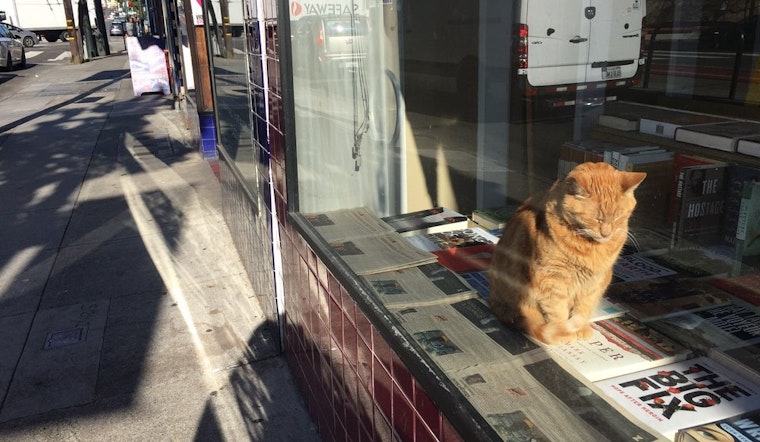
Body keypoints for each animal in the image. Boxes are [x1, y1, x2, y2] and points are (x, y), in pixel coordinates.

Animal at [490, 161, 644, 346]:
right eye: (597, 219)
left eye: (618, 217)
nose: (606, 233)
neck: (590, 246)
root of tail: (493, 298)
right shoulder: (552, 278)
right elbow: (557, 310)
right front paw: (563, 331)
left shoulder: (595, 281)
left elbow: (584, 307)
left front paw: (581, 326)